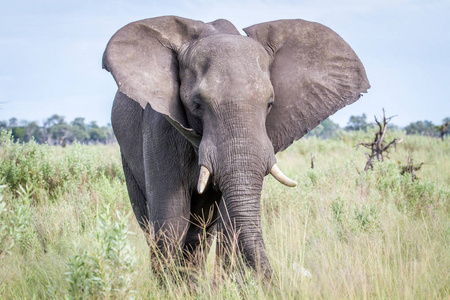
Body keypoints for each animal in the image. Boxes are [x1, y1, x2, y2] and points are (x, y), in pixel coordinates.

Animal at [103, 15, 370, 278]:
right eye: (197, 105)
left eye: (270, 103)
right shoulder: (160, 125)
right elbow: (170, 220)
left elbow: (229, 221)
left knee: (200, 233)